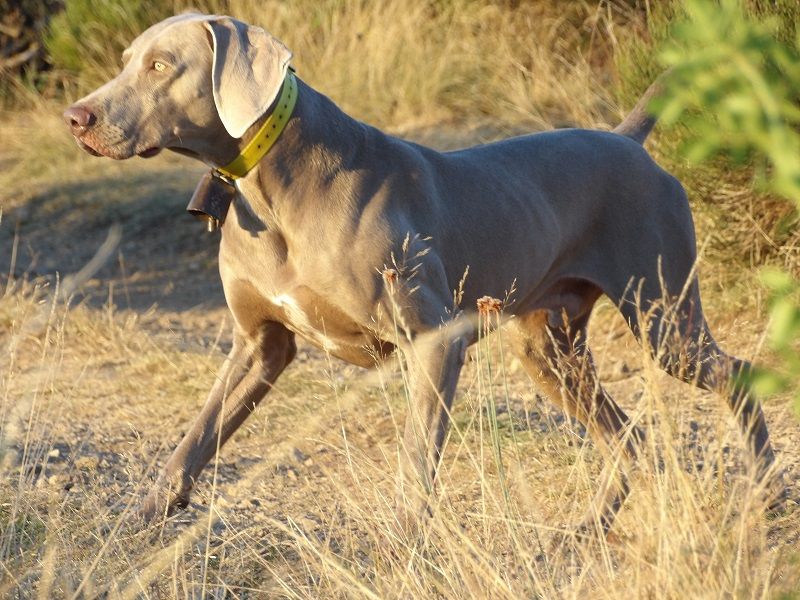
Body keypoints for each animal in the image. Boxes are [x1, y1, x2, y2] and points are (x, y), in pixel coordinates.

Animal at [62, 14, 780, 540]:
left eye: (161, 66)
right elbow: (195, 437)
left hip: (665, 318)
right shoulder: (260, 345)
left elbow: (416, 458)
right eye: (126, 59)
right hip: (548, 347)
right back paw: (585, 530)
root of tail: (628, 141)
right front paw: (138, 520)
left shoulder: (435, 340)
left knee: (736, 376)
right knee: (627, 434)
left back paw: (766, 497)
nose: (77, 118)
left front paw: (405, 543)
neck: (273, 182)